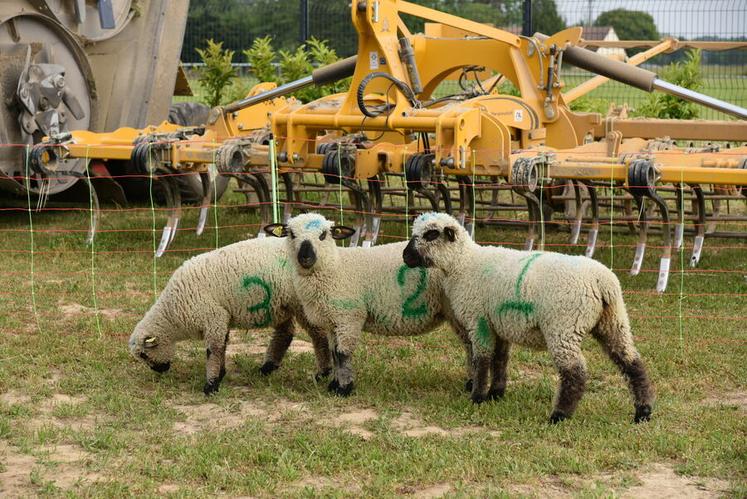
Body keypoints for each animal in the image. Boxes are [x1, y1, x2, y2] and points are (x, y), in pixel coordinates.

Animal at [127, 236, 332, 396]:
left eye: (144, 354)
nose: (160, 371)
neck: (173, 313)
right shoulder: (221, 319)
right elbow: (223, 346)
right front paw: (220, 374)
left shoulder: (213, 317)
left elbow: (213, 351)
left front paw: (211, 386)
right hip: (280, 304)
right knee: (285, 333)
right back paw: (267, 368)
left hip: (301, 303)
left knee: (318, 336)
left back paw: (323, 373)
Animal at [264, 215, 474, 398]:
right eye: (291, 234)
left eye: (323, 235)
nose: (305, 258)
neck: (335, 268)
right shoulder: (333, 321)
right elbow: (334, 353)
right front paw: (334, 384)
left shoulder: (348, 318)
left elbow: (342, 354)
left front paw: (344, 389)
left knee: (473, 345)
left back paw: (472, 385)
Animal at [404, 212, 656, 426]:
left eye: (430, 234)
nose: (405, 257)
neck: (463, 264)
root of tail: (602, 282)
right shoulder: (499, 325)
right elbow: (500, 359)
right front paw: (496, 394)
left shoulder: (478, 321)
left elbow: (482, 361)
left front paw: (477, 397)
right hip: (614, 321)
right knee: (632, 363)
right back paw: (642, 412)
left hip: (564, 326)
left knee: (575, 372)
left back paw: (559, 416)